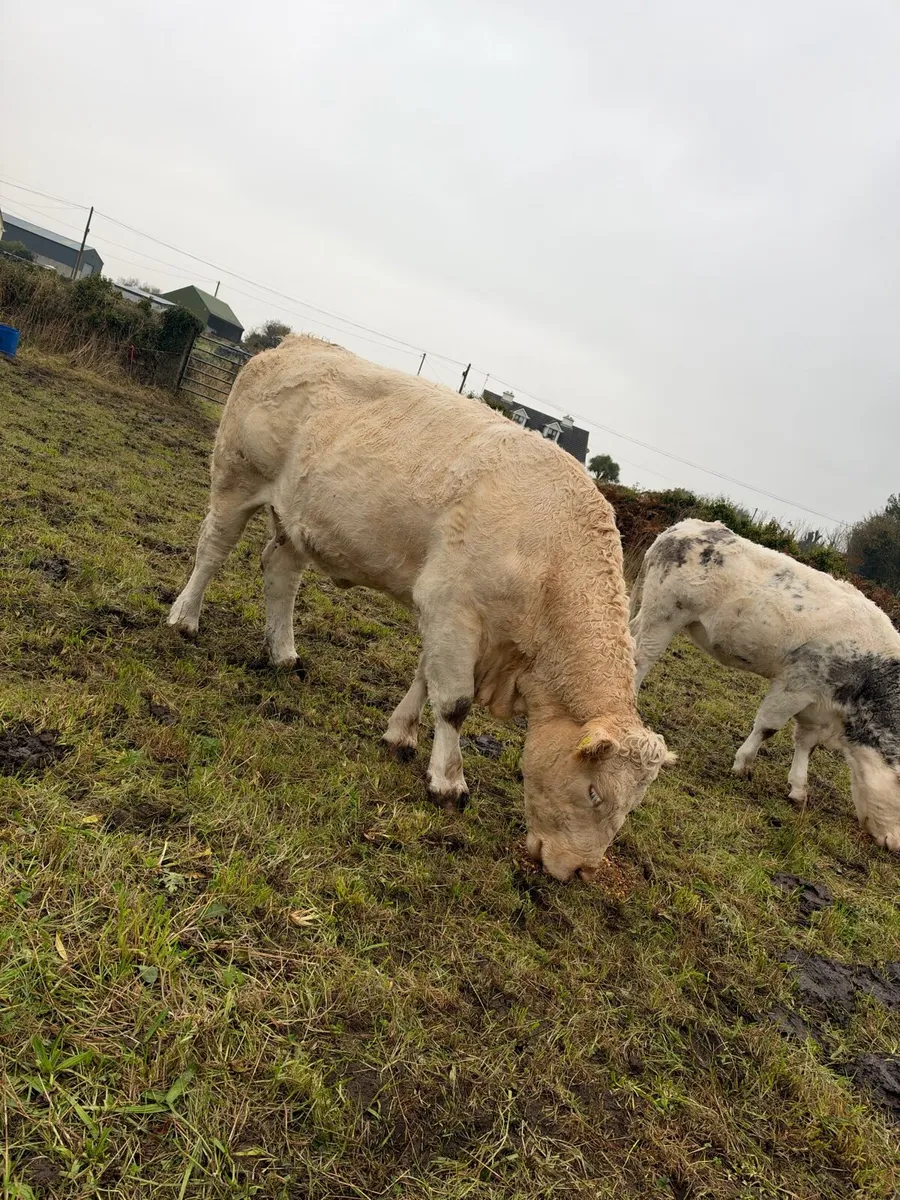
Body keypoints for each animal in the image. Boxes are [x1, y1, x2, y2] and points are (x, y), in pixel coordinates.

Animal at [168, 335, 675, 881]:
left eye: (630, 807)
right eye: (595, 792)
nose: (582, 871)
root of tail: (298, 343)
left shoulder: (445, 616)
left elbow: (425, 678)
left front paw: (400, 735)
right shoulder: (452, 607)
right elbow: (453, 702)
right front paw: (448, 782)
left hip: (298, 522)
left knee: (280, 572)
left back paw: (283, 653)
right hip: (236, 479)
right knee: (212, 549)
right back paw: (184, 619)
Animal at [629, 519, 900, 850]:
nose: (896, 845)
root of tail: (684, 527)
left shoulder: (816, 705)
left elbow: (807, 744)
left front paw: (798, 788)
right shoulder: (794, 684)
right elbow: (768, 726)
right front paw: (743, 763)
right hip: (664, 615)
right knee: (642, 657)